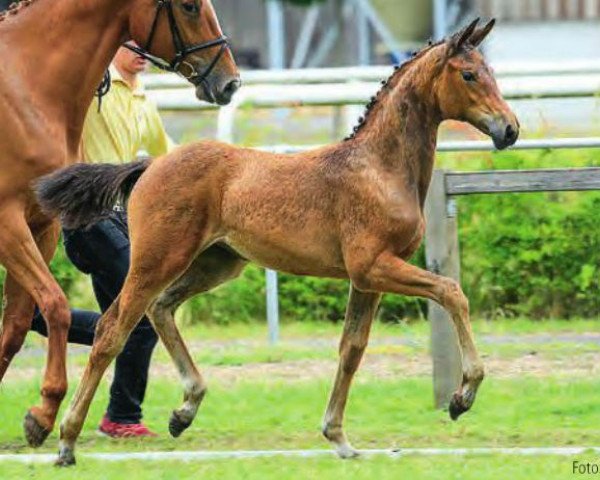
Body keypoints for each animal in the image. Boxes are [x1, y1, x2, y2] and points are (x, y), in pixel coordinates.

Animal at [0, 0, 239, 446]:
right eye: (189, 6)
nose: (229, 82)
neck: (27, 88)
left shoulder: (41, 225)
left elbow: (20, 321)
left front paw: (40, 415)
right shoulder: (7, 224)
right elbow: (56, 304)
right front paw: (45, 411)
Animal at [37, 18, 516, 464]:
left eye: (490, 70)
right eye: (469, 74)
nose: (509, 129)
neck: (380, 168)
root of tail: (150, 165)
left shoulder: (366, 280)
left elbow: (352, 347)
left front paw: (338, 438)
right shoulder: (373, 266)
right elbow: (451, 291)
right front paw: (462, 397)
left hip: (217, 263)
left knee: (160, 308)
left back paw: (184, 410)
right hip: (157, 259)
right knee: (112, 329)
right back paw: (65, 440)